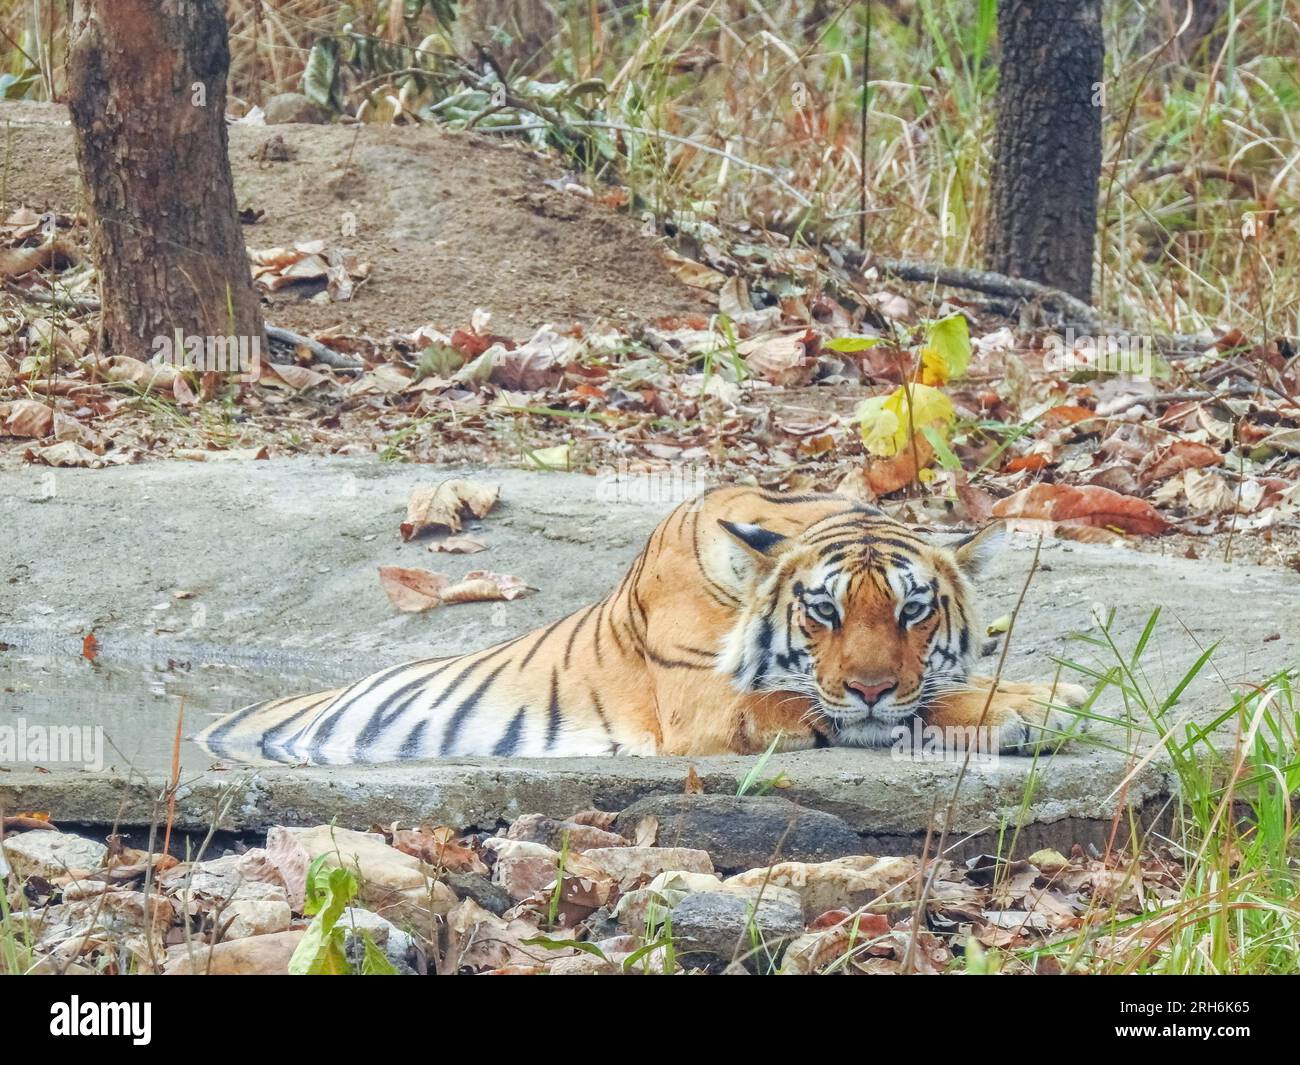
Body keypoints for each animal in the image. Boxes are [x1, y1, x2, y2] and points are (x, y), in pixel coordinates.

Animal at [195, 483, 1086, 764]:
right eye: (823, 609)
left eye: (913, 609)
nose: (869, 685)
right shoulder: (714, 707)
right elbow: (893, 705)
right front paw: (1042, 702)